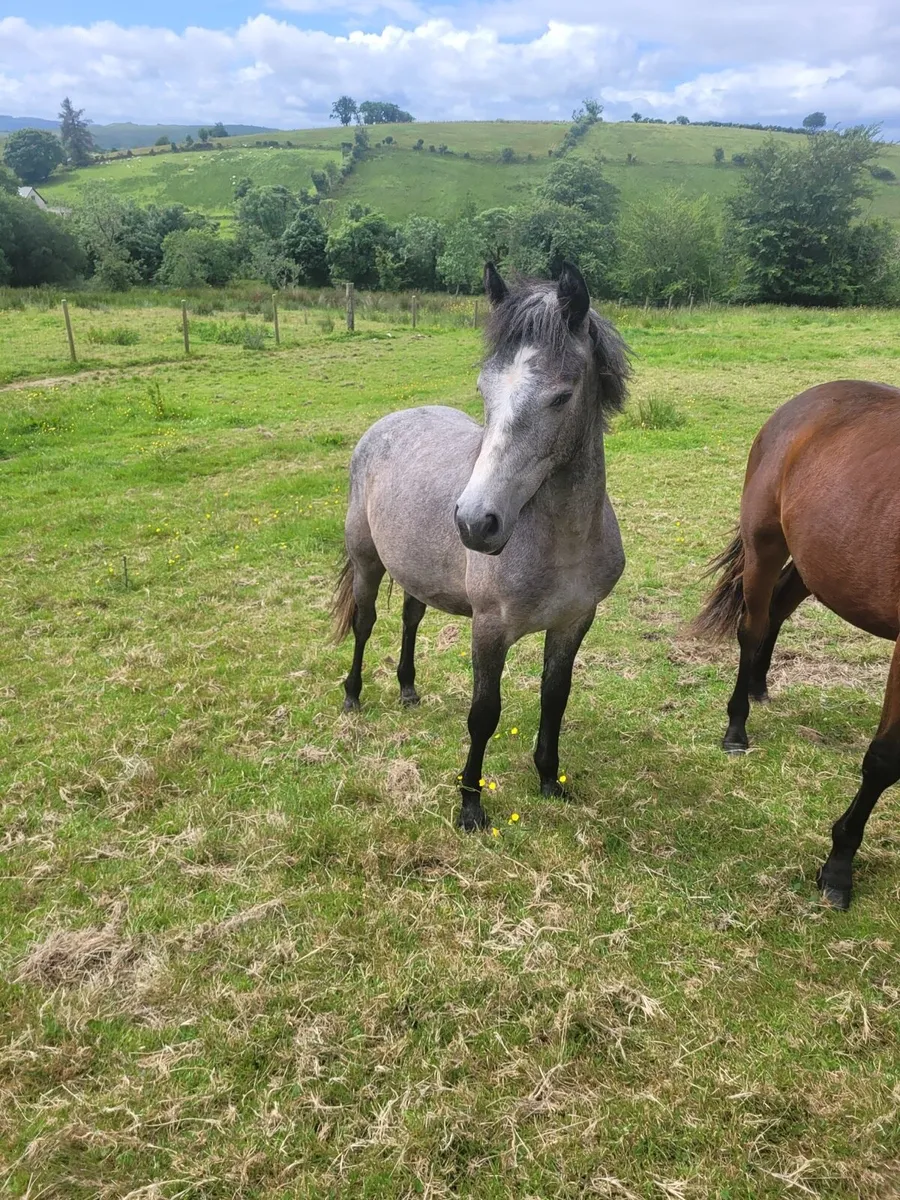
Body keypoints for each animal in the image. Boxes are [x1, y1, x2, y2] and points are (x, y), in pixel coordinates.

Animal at [331, 262, 630, 832]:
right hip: (367, 562)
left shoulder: (574, 622)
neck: (563, 542)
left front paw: (549, 780)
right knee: (365, 623)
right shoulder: (490, 629)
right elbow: (484, 714)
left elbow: (554, 698)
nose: (475, 522)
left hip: (417, 573)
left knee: (410, 619)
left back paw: (407, 689)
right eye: (483, 390)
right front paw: (470, 804)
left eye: (562, 396)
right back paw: (353, 697)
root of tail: (386, 424)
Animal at [693, 380, 900, 910]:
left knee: (778, 610)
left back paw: (758, 685)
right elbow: (884, 759)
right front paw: (839, 866)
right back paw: (737, 726)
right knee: (753, 625)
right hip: (765, 544)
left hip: (820, 558)